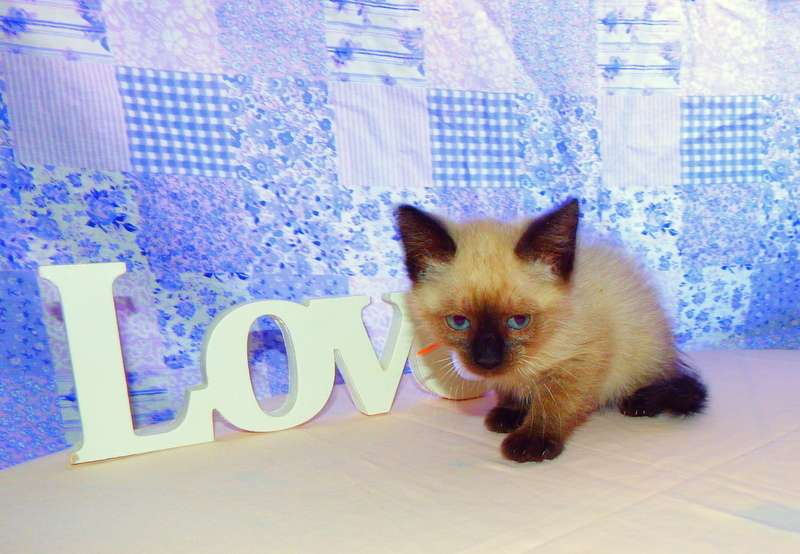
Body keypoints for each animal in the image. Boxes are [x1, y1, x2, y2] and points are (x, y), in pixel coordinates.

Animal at [395, 198, 707, 463]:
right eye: (459, 322)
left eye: (519, 321)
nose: (487, 360)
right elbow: (509, 392)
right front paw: (510, 414)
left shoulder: (580, 361)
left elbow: (554, 405)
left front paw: (531, 442)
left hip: (643, 352)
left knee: (671, 382)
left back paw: (640, 402)